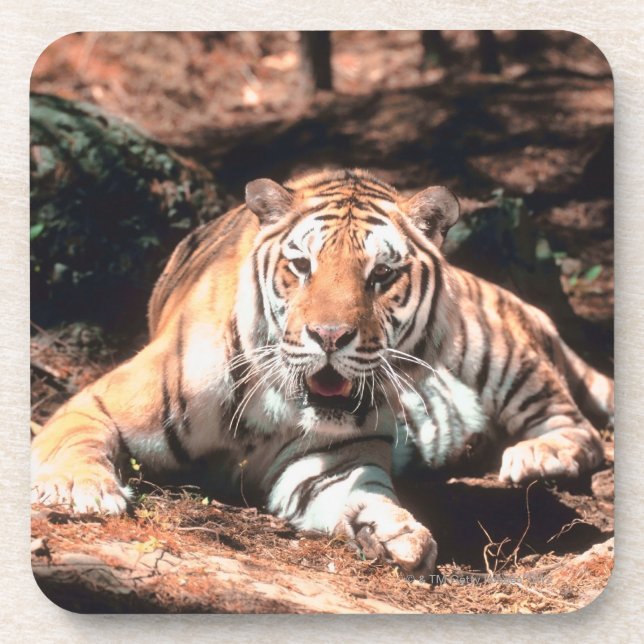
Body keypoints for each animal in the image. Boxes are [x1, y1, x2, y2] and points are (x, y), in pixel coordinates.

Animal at [31, 168, 613, 575]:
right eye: (301, 266)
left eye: (382, 274)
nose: (330, 337)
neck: (276, 400)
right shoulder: (100, 400)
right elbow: (77, 441)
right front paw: (80, 492)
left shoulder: (330, 461)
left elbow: (367, 489)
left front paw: (396, 532)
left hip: (492, 349)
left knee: (577, 428)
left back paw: (537, 456)